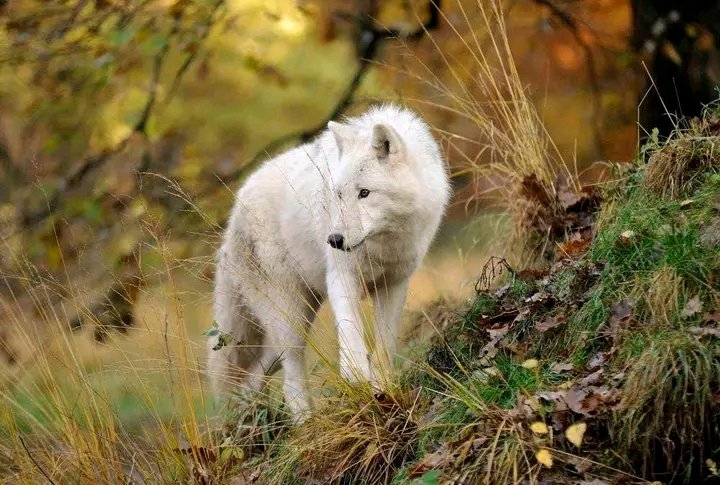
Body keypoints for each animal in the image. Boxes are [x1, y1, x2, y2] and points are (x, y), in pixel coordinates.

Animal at [205, 105, 448, 416]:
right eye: (339, 194)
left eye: (364, 193)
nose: (334, 240)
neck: (383, 243)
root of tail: (233, 216)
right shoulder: (341, 277)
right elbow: (350, 332)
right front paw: (357, 376)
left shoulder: (394, 285)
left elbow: (385, 344)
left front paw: (383, 388)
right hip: (291, 316)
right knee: (290, 377)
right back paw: (303, 421)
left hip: (299, 314)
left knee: (257, 376)